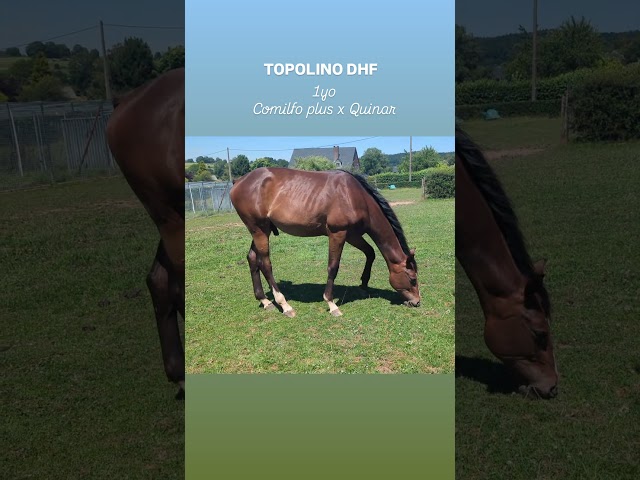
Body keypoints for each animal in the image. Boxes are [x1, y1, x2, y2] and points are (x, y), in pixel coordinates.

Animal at [229, 167, 421, 317]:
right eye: (412, 279)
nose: (417, 302)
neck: (353, 195)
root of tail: (239, 181)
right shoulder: (338, 234)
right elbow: (333, 267)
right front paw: (331, 303)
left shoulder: (352, 235)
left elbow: (370, 253)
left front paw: (364, 284)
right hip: (259, 230)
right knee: (266, 264)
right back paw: (284, 305)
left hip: (262, 230)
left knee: (252, 258)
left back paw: (264, 300)